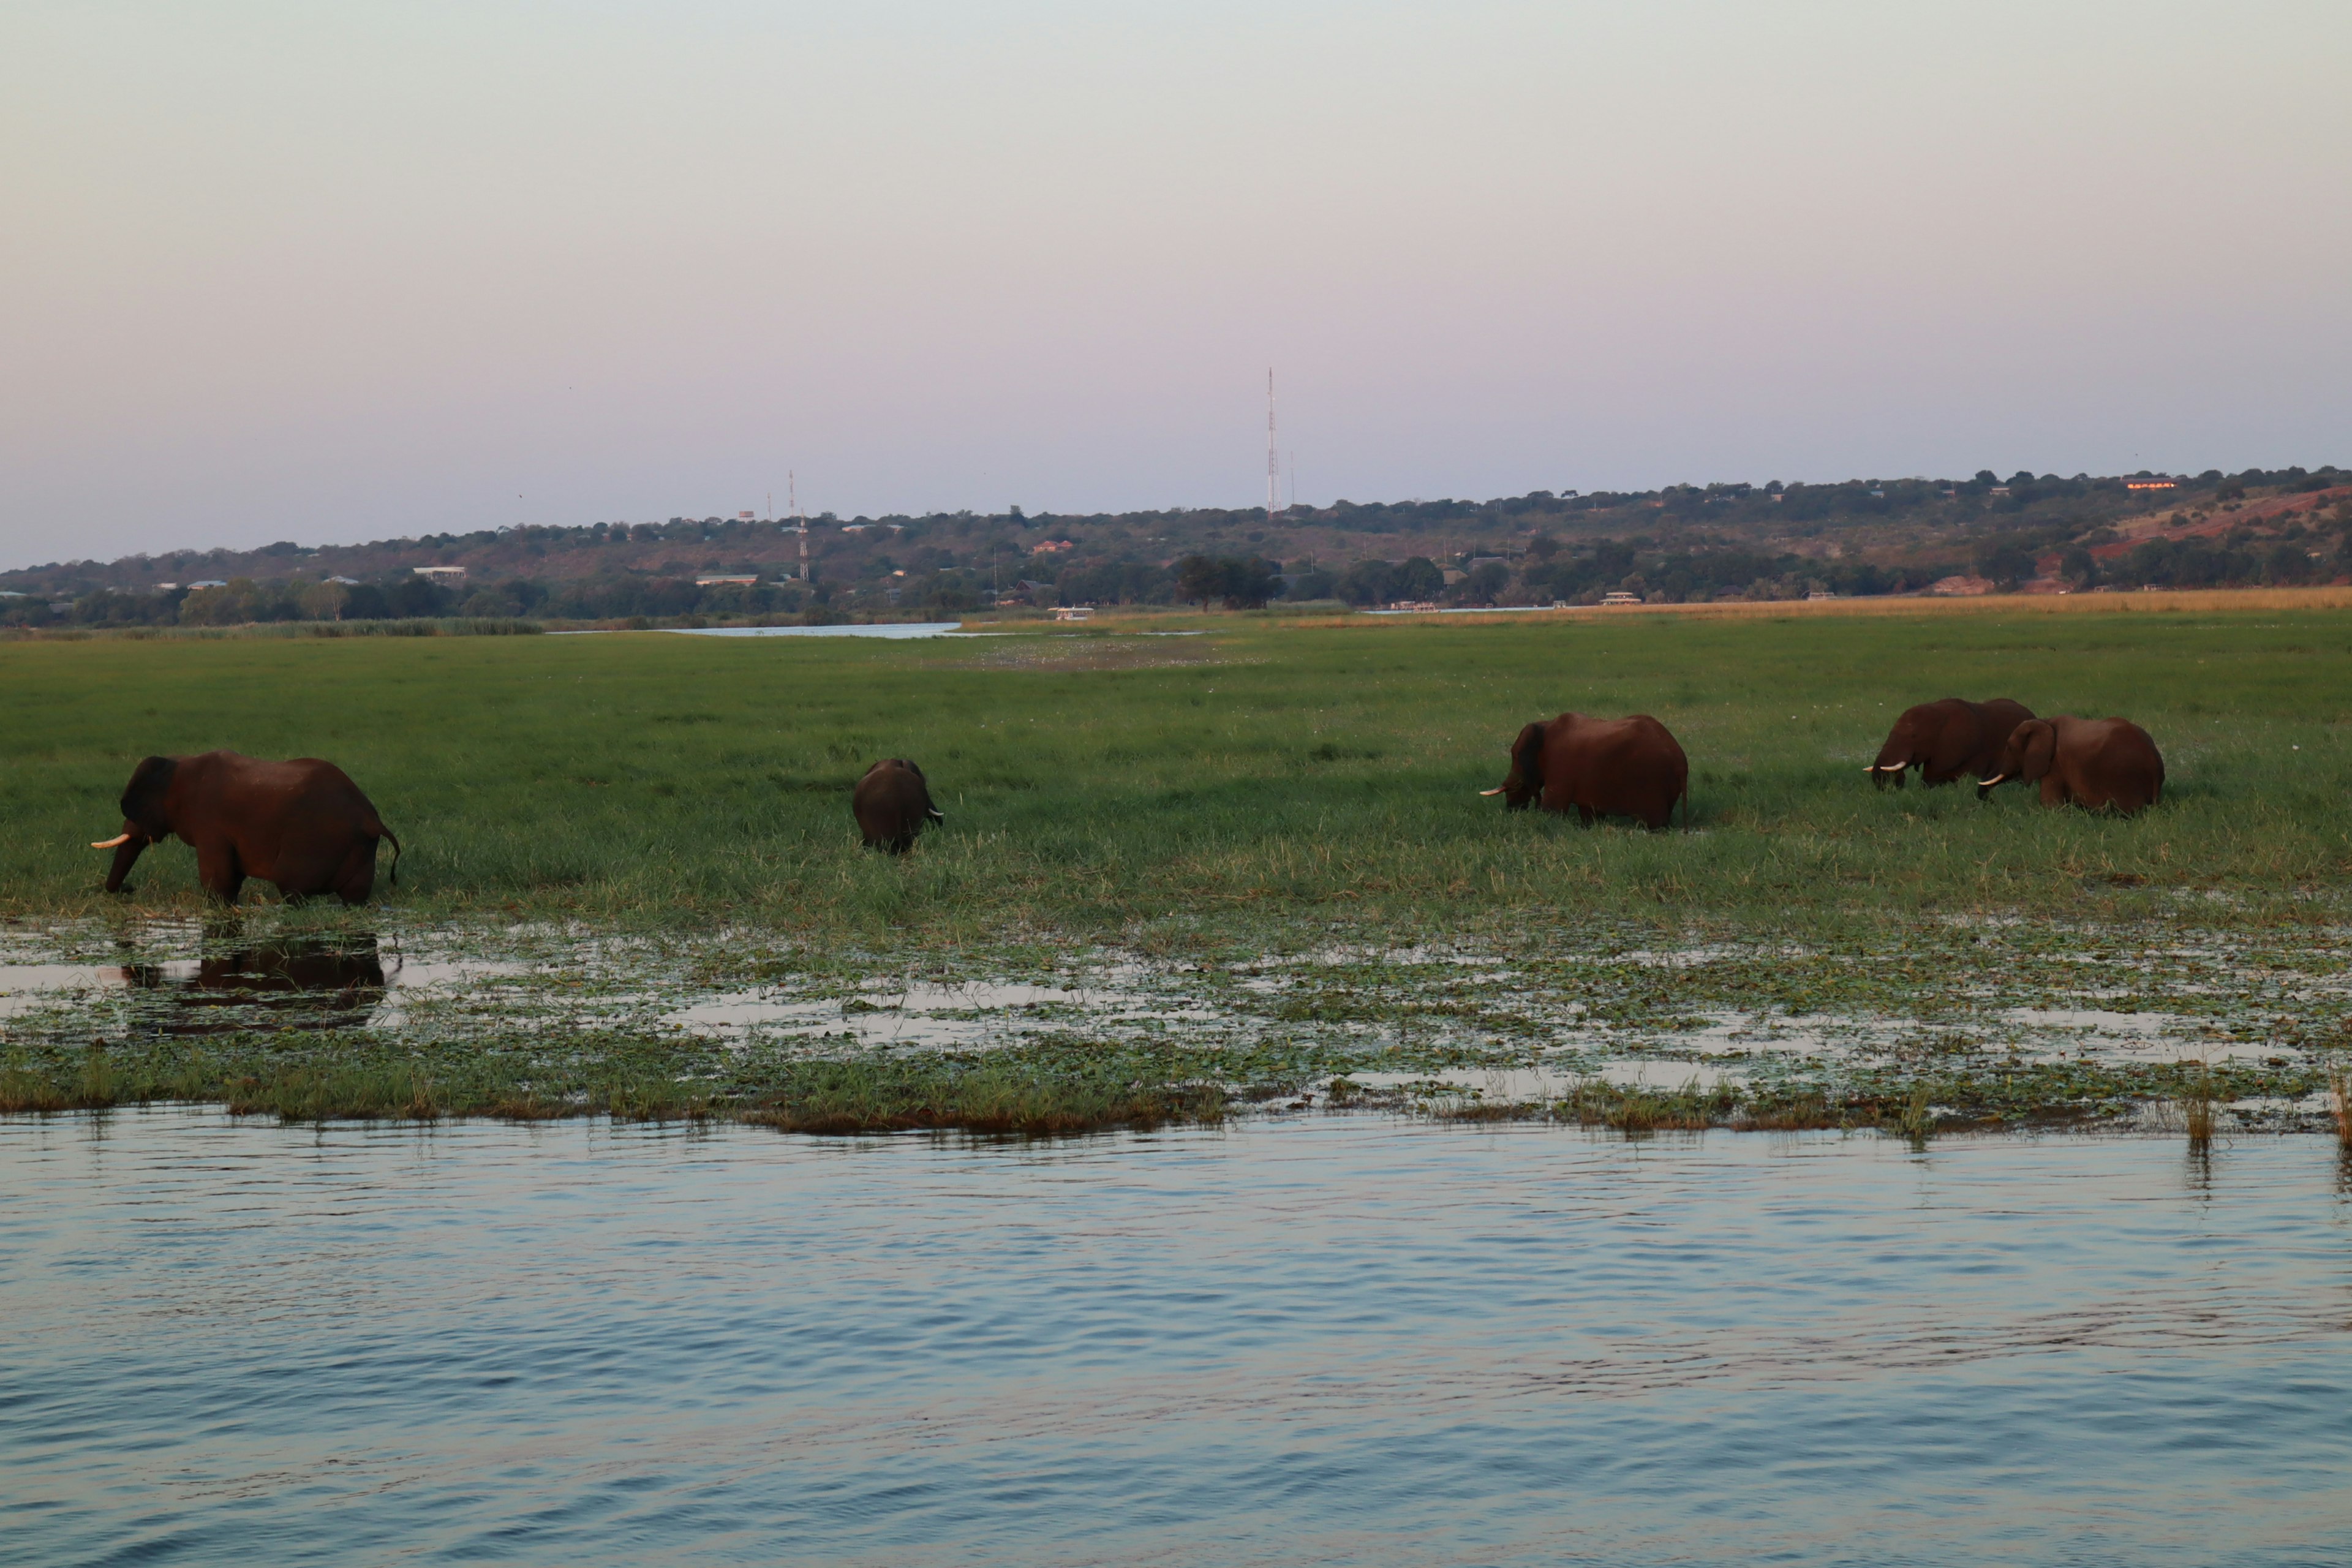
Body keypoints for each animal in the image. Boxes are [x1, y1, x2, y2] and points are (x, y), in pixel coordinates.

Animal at [92, 752, 399, 902]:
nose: (130, 889)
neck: (179, 763)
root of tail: (372, 819)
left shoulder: (209, 821)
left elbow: (217, 877)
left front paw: (219, 906)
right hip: (357, 847)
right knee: (355, 893)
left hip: (317, 841)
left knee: (290, 884)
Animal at [1477, 714, 1684, 827]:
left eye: (1516, 756)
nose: (1513, 810)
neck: (1545, 726)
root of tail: (1681, 759)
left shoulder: (1560, 765)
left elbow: (1553, 810)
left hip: (1652, 783)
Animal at [1975, 719, 2154, 818]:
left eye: (2010, 748)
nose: (1992, 803)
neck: (2044, 722)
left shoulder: (2055, 764)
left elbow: (2050, 804)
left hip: (2124, 777)